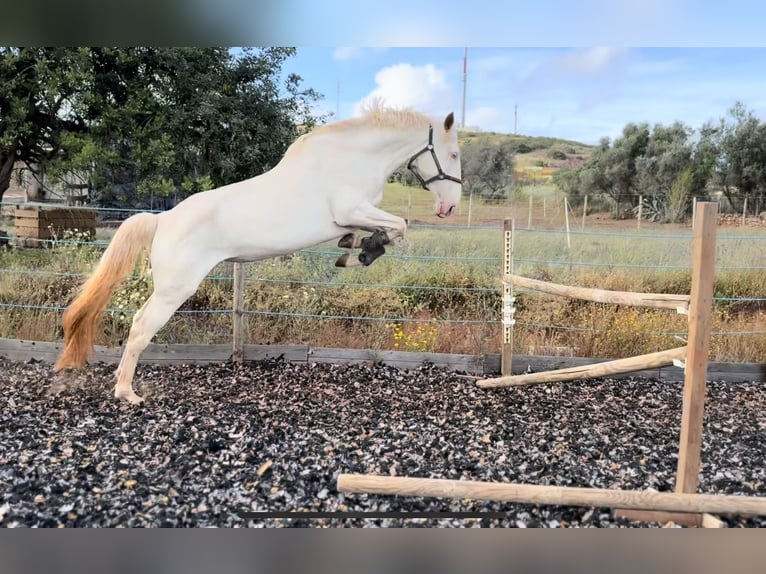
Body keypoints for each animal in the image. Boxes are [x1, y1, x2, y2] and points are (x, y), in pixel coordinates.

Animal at [54, 102, 464, 404]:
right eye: (454, 154)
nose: (450, 208)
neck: (351, 159)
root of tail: (163, 219)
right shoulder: (351, 209)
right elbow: (399, 226)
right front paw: (364, 251)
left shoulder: (352, 217)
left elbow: (383, 229)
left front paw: (353, 249)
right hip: (174, 290)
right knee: (141, 327)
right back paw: (127, 392)